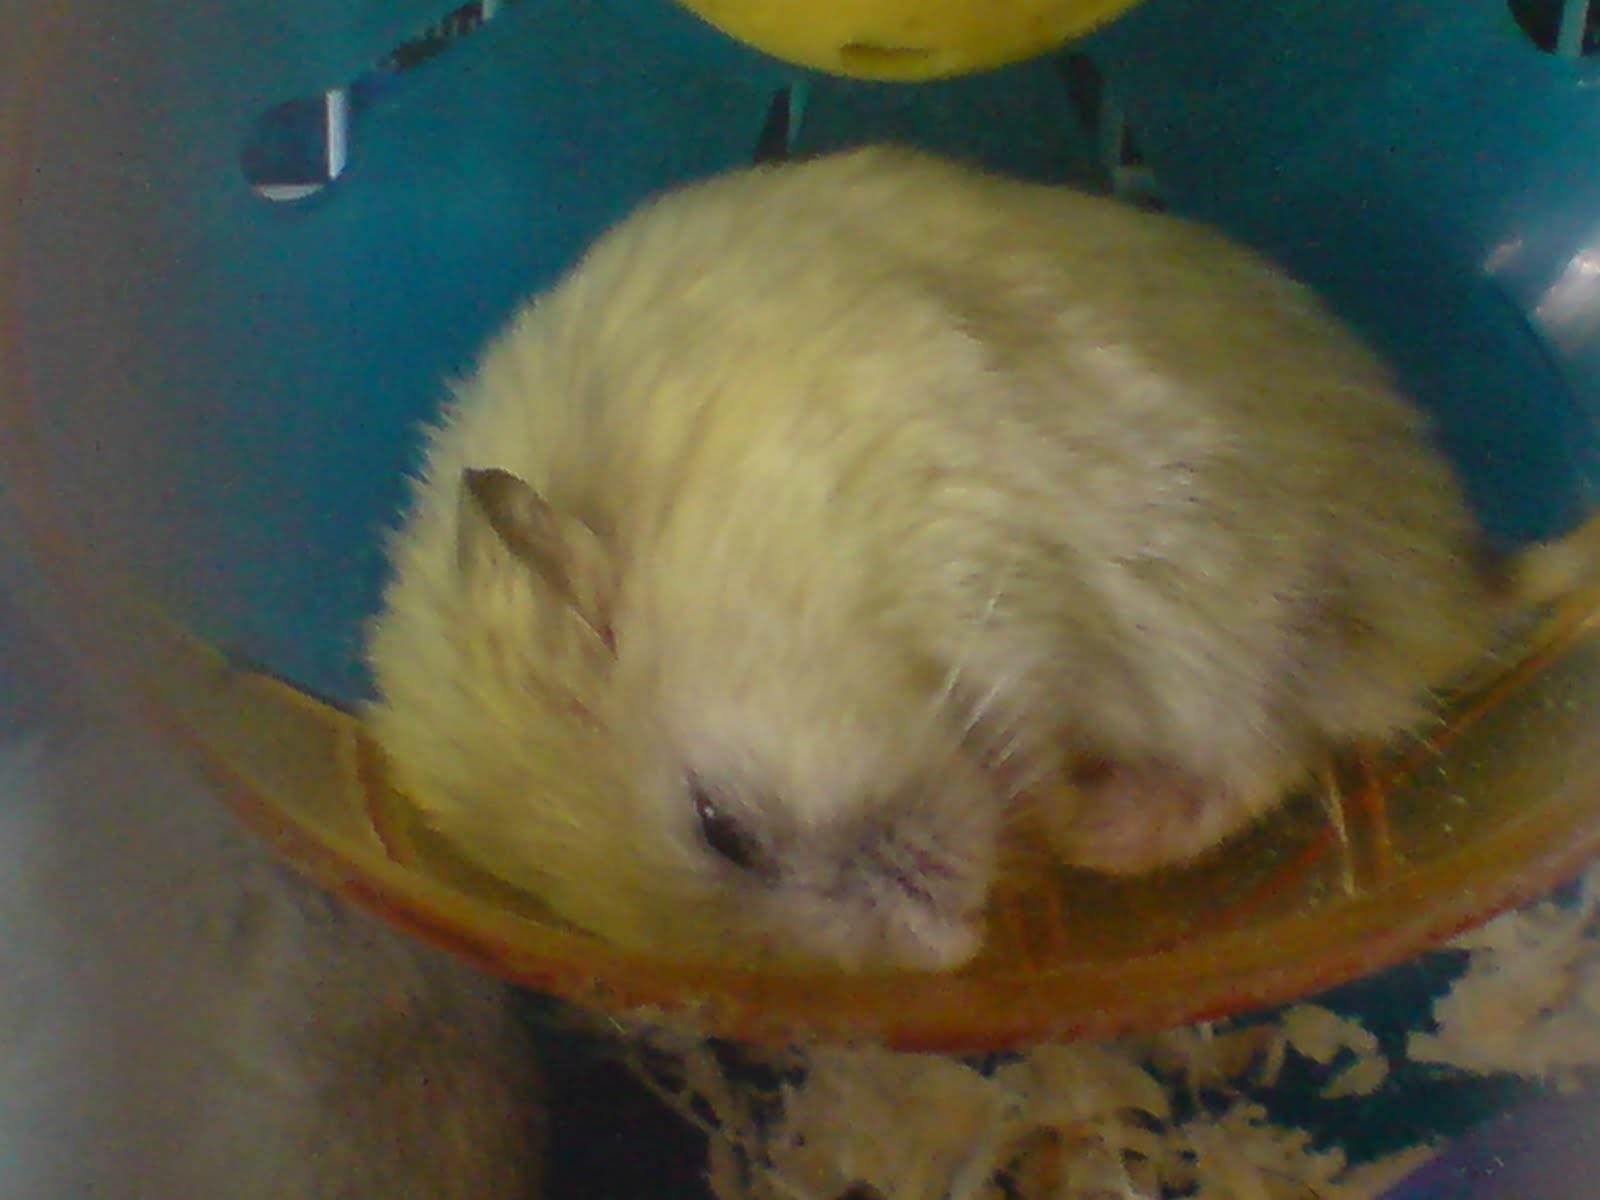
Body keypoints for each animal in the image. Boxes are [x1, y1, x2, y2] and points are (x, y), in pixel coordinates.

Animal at [364, 145, 1590, 973]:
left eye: (723, 831)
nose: (952, 952)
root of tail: (1467, 578)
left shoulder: (972, 552)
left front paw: (1040, 814)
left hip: (1235, 608)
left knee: (1265, 752)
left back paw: (1098, 826)